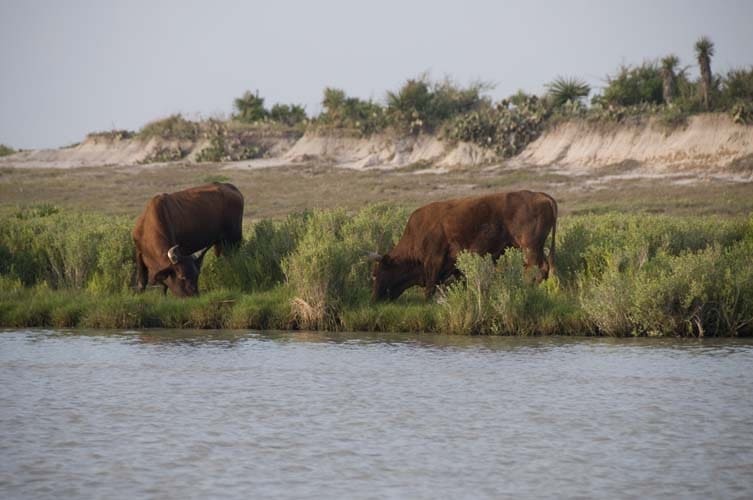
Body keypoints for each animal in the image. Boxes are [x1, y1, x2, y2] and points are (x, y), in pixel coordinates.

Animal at [368, 190, 556, 300]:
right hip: (538, 247)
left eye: (377, 273)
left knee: (535, 267)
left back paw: (526, 287)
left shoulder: (433, 260)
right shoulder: (454, 265)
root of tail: (543, 196)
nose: (375, 299)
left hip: (530, 247)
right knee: (545, 266)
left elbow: (430, 287)